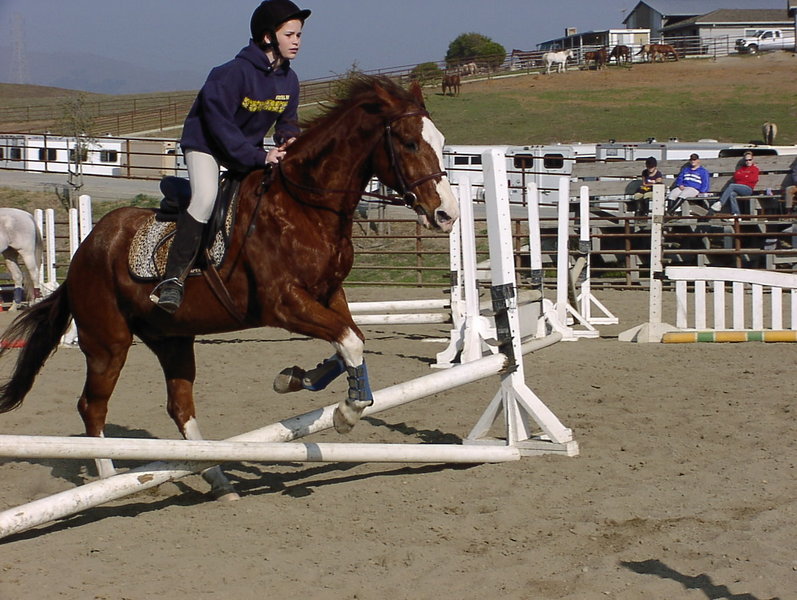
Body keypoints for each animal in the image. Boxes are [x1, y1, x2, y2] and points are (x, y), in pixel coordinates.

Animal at [0, 75, 459, 500]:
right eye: (409, 143)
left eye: (440, 141)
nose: (447, 215)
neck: (306, 207)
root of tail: (87, 249)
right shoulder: (284, 304)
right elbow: (350, 340)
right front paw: (345, 412)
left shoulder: (329, 294)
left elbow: (351, 339)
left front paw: (298, 379)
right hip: (107, 342)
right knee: (92, 406)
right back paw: (108, 481)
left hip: (172, 339)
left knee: (180, 408)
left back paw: (218, 479)